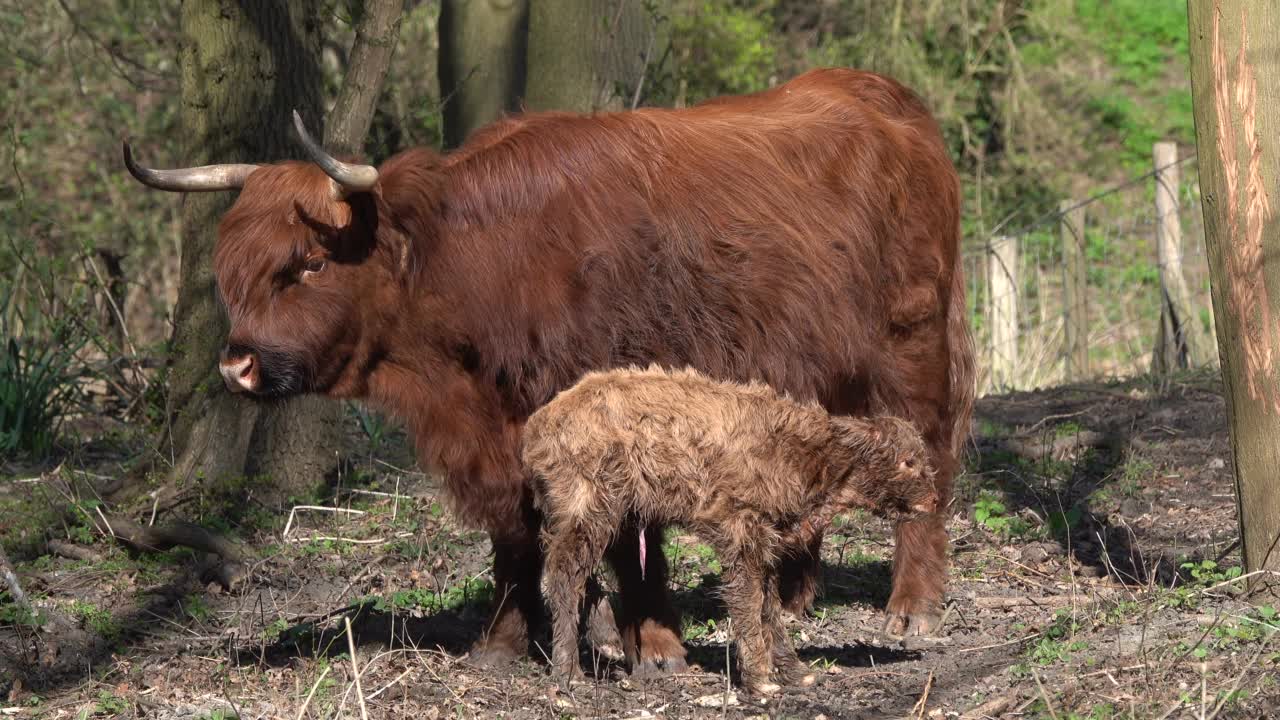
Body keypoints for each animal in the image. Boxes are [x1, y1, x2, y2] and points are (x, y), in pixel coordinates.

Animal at [522, 366, 942, 691]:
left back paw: (602, 643)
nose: (936, 500)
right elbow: (749, 603)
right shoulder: (740, 531)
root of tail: (537, 428)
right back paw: (568, 675)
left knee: (583, 578)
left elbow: (770, 607)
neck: (804, 456)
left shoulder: (766, 543)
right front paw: (761, 681)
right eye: (907, 462)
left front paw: (795, 673)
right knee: (563, 578)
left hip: (608, 517)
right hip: (586, 509)